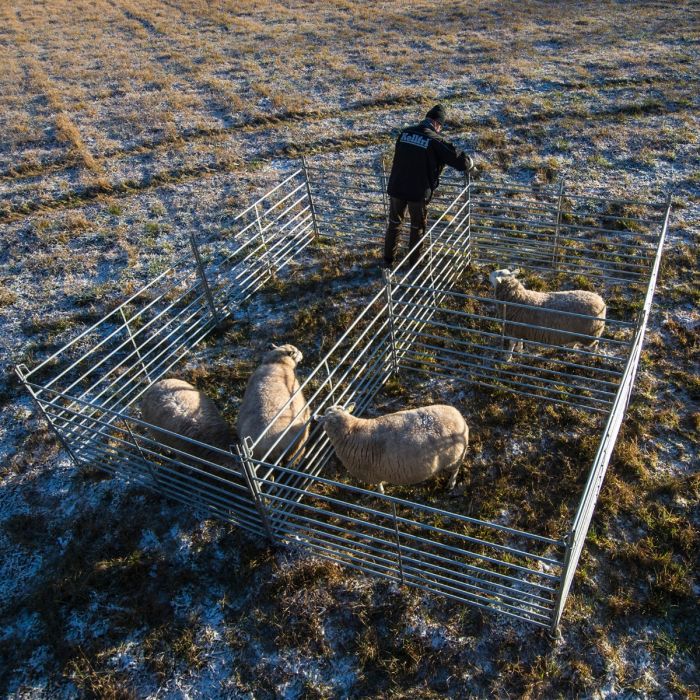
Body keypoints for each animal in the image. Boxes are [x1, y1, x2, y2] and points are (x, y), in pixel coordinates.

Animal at [318, 402, 470, 494]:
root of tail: (459, 417)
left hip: (454, 458)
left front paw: (380, 493)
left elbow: (379, 487)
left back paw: (451, 484)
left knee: (455, 471)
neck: (351, 430)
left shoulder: (372, 475)